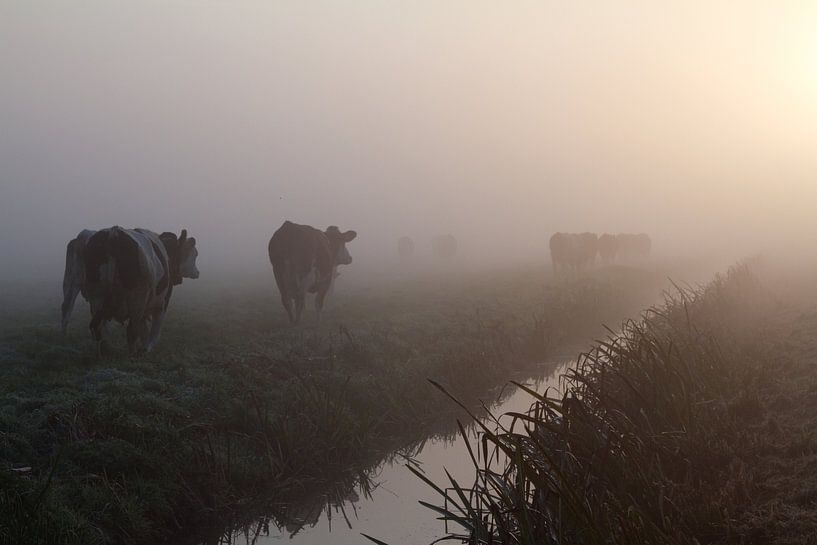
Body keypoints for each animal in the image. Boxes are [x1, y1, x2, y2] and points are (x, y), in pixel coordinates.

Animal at [81, 224, 199, 354]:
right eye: (194, 254)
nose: (197, 272)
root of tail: (114, 233)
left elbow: (144, 329)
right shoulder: (162, 303)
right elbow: (154, 332)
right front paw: (146, 348)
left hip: (97, 298)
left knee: (97, 328)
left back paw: (103, 351)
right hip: (137, 299)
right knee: (131, 331)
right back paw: (133, 353)